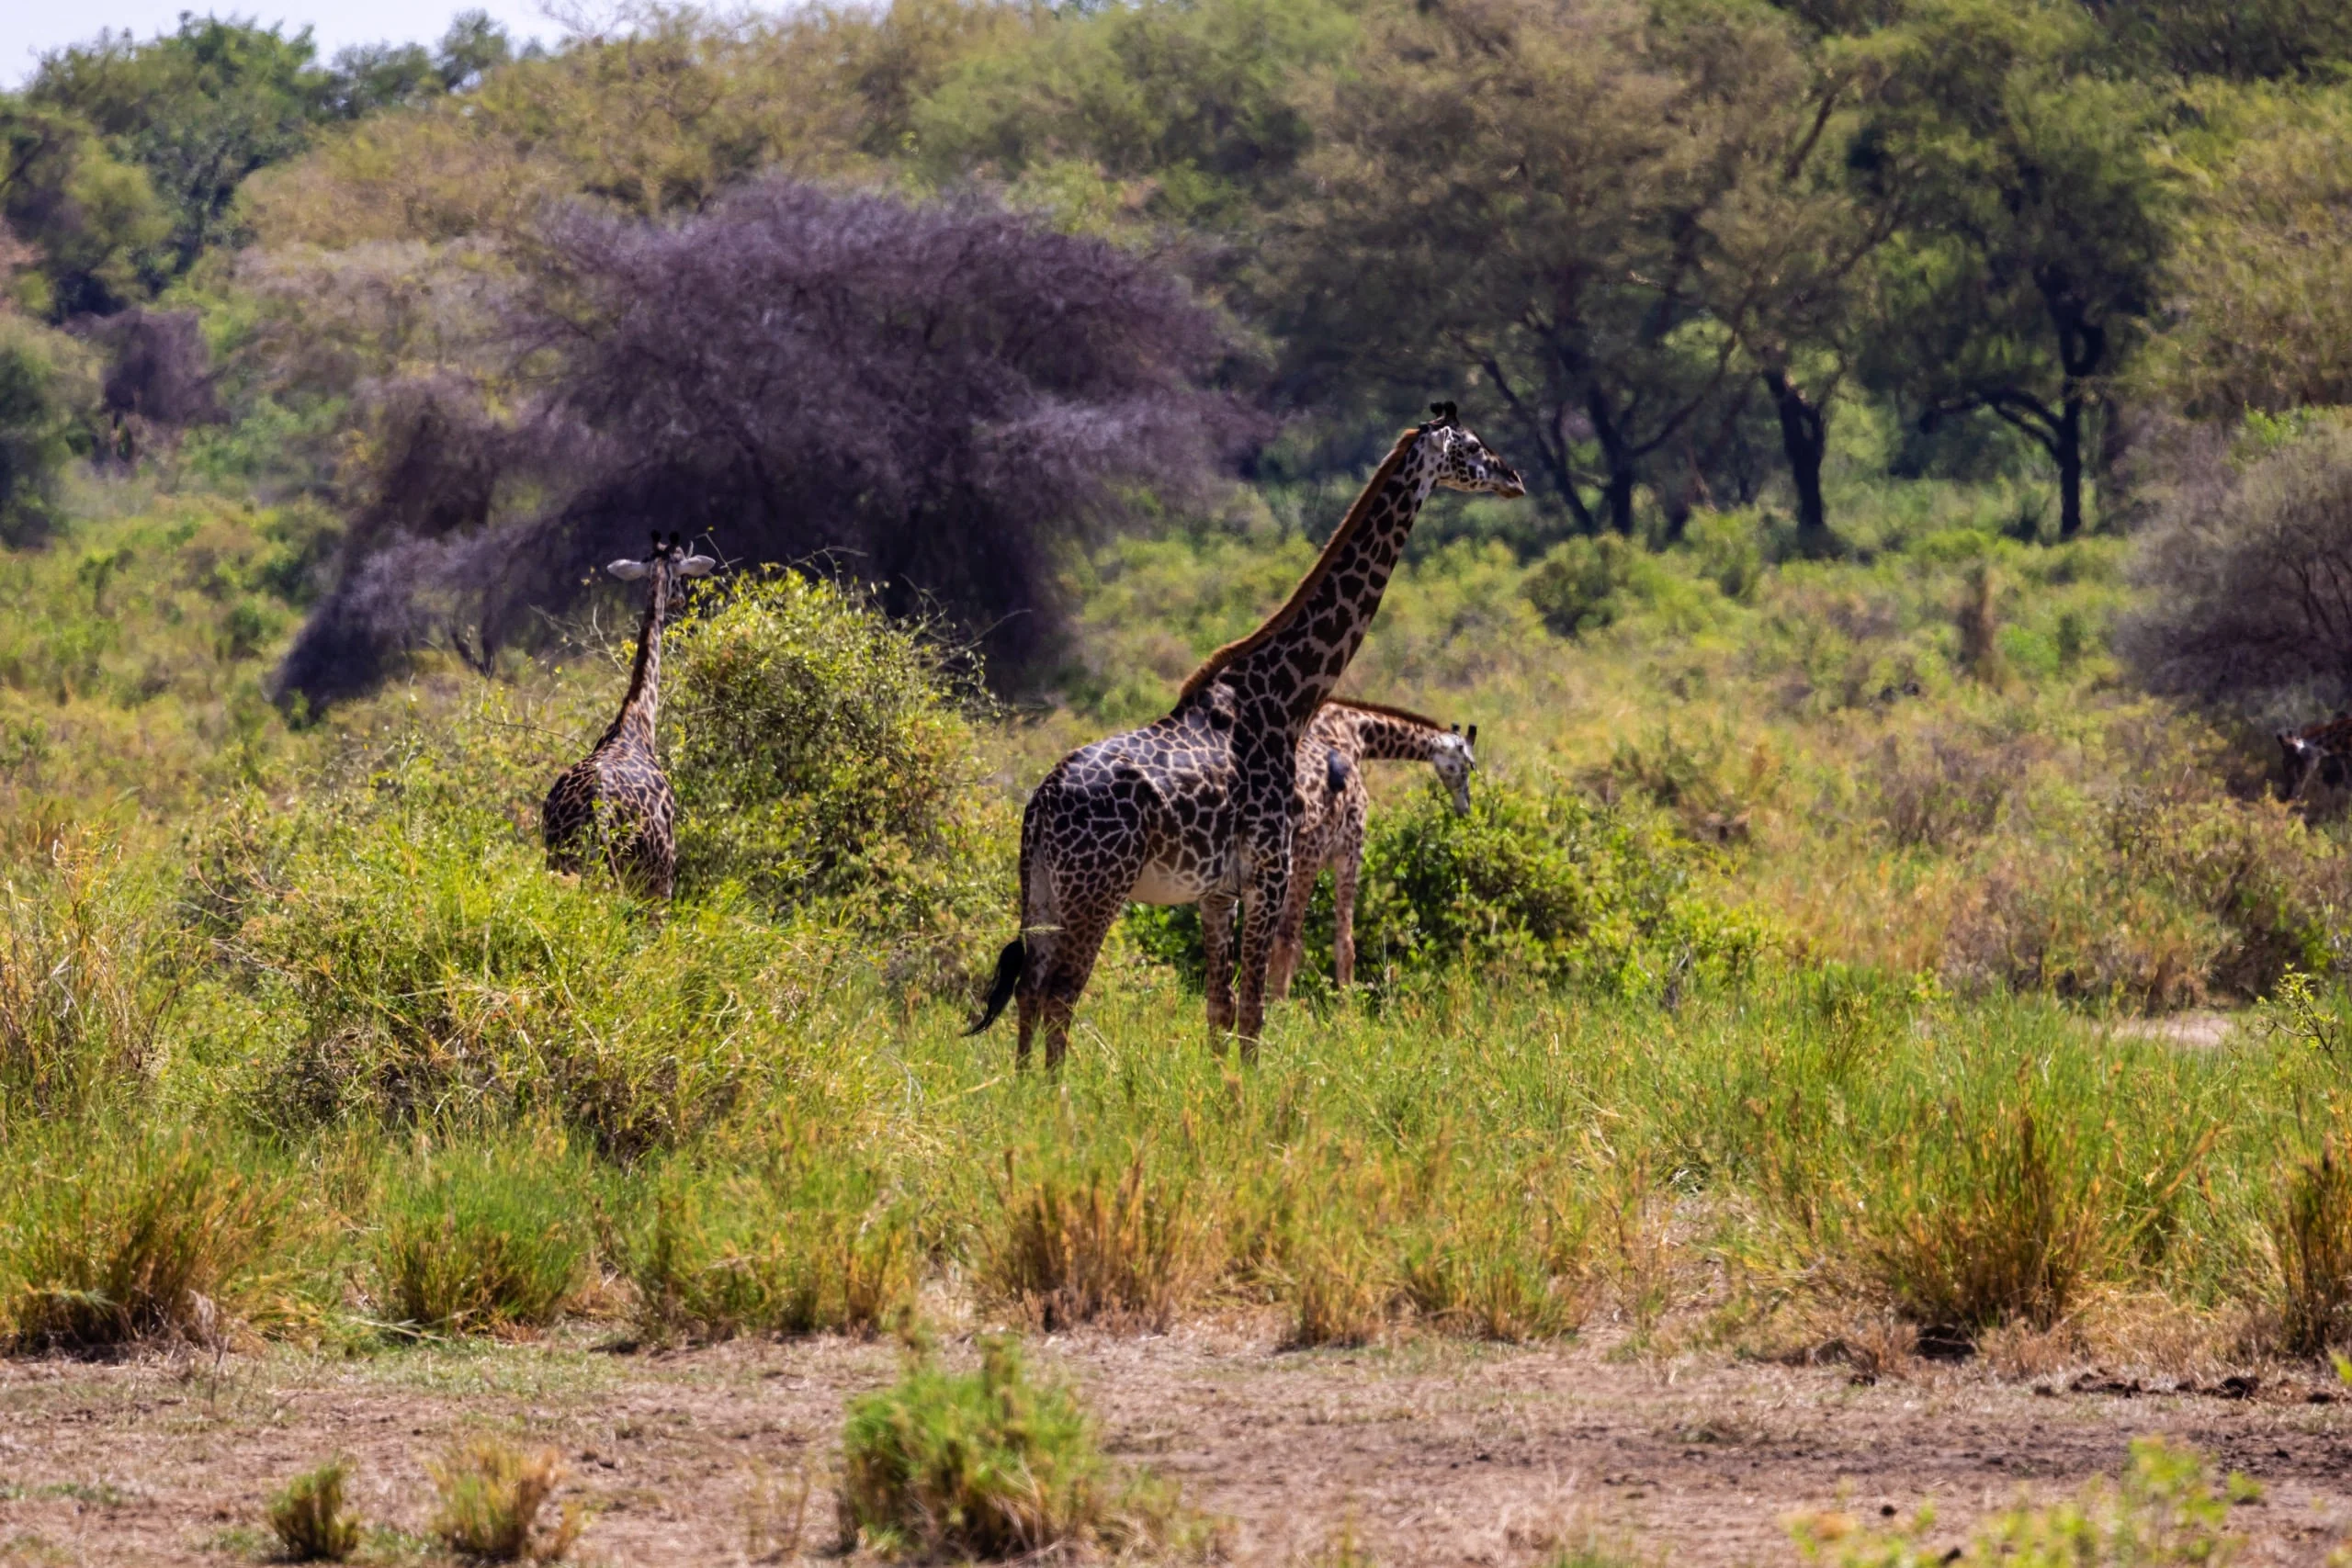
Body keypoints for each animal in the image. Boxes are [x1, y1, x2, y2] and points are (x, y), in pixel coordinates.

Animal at [543, 531, 715, 893]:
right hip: (653, 873)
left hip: (560, 858)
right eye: (683, 571)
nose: (680, 600)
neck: (637, 717)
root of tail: (600, 808)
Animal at [1261, 700, 1476, 1006]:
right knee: (1287, 930)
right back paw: (1279, 1005)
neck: (1357, 730)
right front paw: (1347, 1005)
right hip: (1304, 854)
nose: (1465, 807)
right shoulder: (1351, 847)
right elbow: (1345, 940)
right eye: (1468, 766)